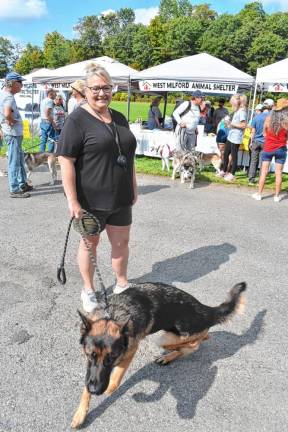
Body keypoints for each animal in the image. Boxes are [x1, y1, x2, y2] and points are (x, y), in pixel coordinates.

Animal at [71, 282, 245, 426]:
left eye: (111, 358)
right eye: (90, 355)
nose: (95, 390)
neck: (113, 314)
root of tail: (204, 309)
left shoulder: (130, 350)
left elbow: (115, 381)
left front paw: (109, 389)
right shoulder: (91, 369)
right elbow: (87, 384)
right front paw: (80, 414)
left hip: (163, 337)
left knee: (196, 342)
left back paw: (173, 353)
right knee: (202, 339)